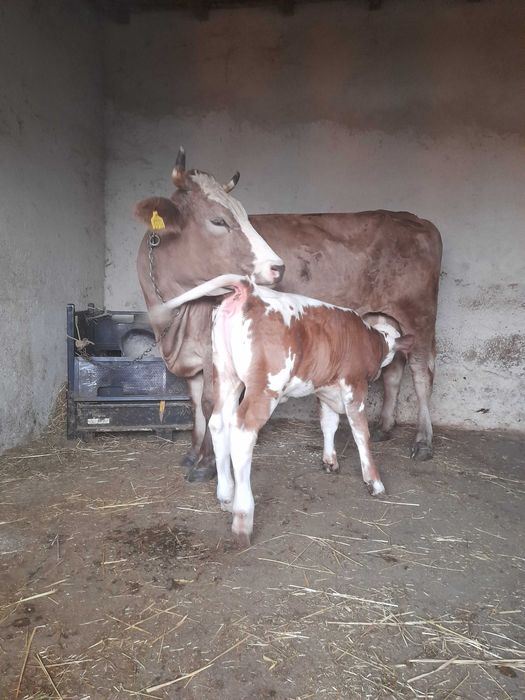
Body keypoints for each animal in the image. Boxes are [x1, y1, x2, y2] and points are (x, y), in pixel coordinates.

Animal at [135, 148, 442, 481]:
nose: (277, 267)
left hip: (418, 315)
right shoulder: (190, 355)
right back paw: (385, 426)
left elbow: (209, 402)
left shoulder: (213, 351)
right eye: (218, 220)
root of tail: (415, 218)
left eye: (245, 216)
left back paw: (423, 440)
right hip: (385, 318)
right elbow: (194, 403)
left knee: (422, 373)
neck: (176, 320)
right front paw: (193, 454)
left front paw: (206, 463)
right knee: (394, 370)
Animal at [151, 274, 414, 545]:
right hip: (265, 387)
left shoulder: (324, 388)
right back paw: (242, 517)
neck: (371, 338)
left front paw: (330, 461)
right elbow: (361, 432)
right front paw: (374, 481)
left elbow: (329, 424)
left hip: (225, 375)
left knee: (217, 423)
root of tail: (249, 289)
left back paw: (226, 495)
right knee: (242, 432)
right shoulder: (355, 386)